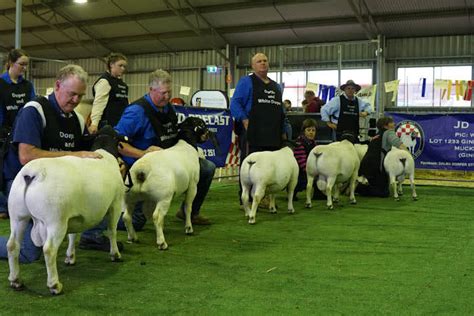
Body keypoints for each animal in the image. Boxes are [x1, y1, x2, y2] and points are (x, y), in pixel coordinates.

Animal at [9, 126, 128, 294]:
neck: (105, 151)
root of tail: (32, 174)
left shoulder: (73, 215)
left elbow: (72, 235)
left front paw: (70, 258)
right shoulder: (115, 204)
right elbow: (112, 230)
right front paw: (115, 254)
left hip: (18, 215)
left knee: (12, 245)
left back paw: (16, 281)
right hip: (55, 220)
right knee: (49, 249)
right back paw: (54, 285)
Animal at [123, 116, 210, 249]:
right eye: (202, 124)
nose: (209, 133)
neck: (186, 144)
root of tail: (141, 169)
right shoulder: (193, 185)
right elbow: (188, 207)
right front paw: (189, 228)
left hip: (132, 197)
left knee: (127, 216)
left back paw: (133, 237)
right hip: (164, 196)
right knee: (157, 216)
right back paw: (162, 243)